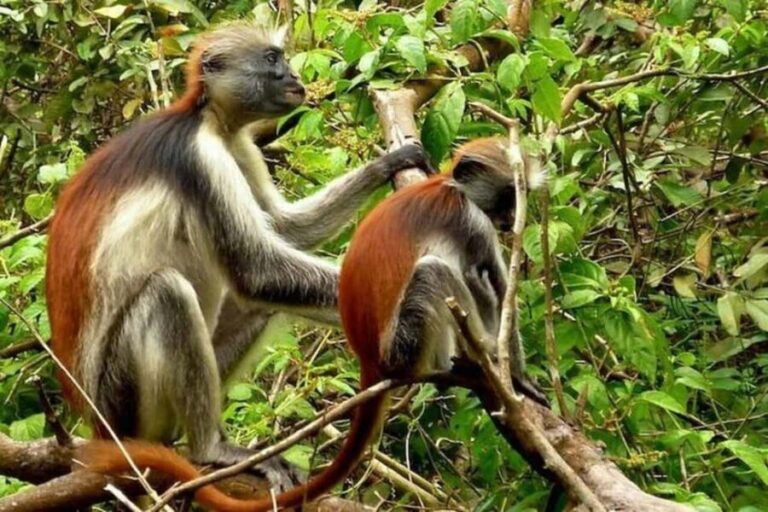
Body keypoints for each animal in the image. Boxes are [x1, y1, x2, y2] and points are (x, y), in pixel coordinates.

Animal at [47, 22, 433, 491]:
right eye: (272, 60)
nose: (293, 77)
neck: (209, 120)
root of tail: (98, 425)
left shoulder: (238, 145)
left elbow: (285, 229)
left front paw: (390, 163)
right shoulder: (200, 159)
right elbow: (257, 271)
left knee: (259, 304)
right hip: (121, 396)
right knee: (169, 292)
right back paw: (210, 448)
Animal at [77, 137, 543, 511]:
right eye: (507, 197)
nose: (510, 220)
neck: (447, 186)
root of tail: (372, 358)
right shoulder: (473, 222)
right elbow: (498, 288)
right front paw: (518, 380)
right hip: (404, 342)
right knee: (439, 273)